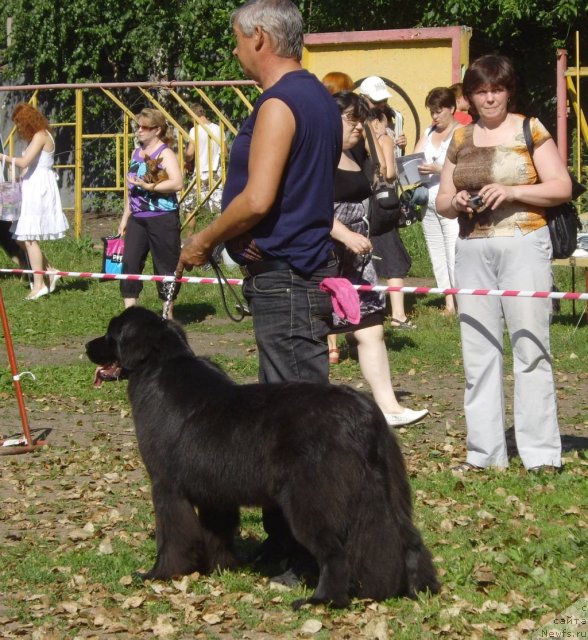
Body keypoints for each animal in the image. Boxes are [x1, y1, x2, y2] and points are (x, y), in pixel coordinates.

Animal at [86, 308, 436, 608]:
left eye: (111, 334)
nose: (88, 345)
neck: (159, 364)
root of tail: (363, 415)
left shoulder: (166, 486)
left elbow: (171, 537)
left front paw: (159, 573)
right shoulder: (215, 491)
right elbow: (218, 531)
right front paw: (222, 567)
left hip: (310, 500)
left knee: (334, 553)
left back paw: (320, 600)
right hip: (388, 490)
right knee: (410, 539)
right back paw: (421, 588)